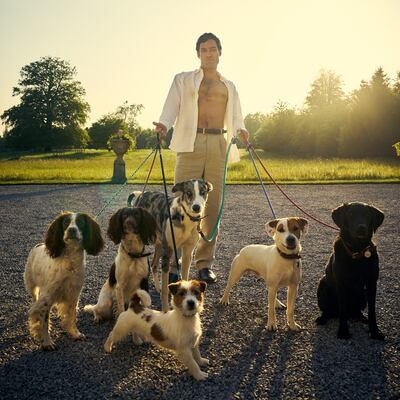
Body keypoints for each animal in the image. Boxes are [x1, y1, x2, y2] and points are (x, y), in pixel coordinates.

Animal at [23, 212, 104, 350]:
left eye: (80, 222)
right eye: (66, 222)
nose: (71, 230)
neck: (70, 264)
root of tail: (38, 245)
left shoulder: (73, 294)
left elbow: (71, 316)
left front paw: (75, 333)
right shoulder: (47, 298)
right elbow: (44, 320)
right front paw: (47, 342)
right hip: (31, 285)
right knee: (35, 300)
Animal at [128, 179, 212, 312]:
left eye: (203, 192)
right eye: (188, 192)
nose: (196, 207)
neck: (185, 218)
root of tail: (142, 195)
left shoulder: (187, 253)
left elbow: (185, 277)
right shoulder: (168, 252)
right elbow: (166, 289)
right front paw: (165, 310)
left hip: (159, 244)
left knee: (154, 265)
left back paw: (157, 287)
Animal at [316, 202, 384, 340]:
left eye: (368, 215)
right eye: (351, 214)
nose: (361, 228)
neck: (357, 251)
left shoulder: (371, 283)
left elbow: (372, 310)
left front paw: (374, 331)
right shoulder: (341, 284)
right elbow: (343, 309)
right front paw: (343, 332)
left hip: (362, 295)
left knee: (356, 311)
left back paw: (362, 317)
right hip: (322, 284)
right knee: (329, 311)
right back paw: (323, 318)